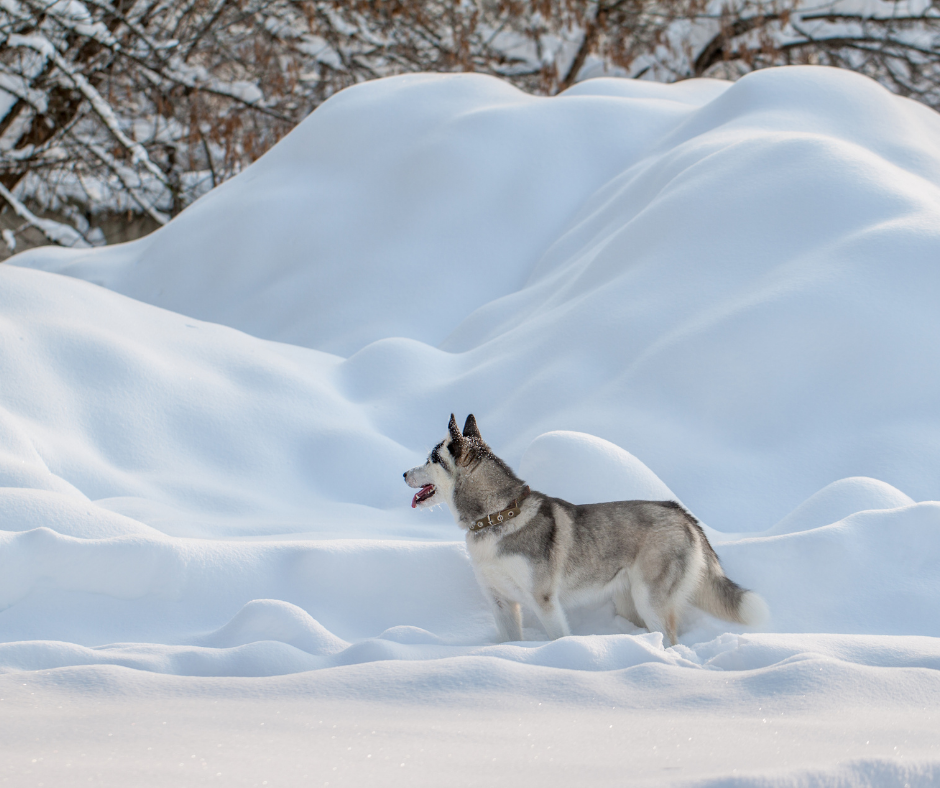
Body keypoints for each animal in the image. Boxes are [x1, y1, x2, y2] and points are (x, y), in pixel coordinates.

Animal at [402, 416, 764, 644]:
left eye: (431, 458)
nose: (403, 473)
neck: (496, 518)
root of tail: (681, 512)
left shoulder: (544, 601)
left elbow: (558, 637)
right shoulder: (500, 603)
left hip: (650, 601)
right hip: (629, 602)